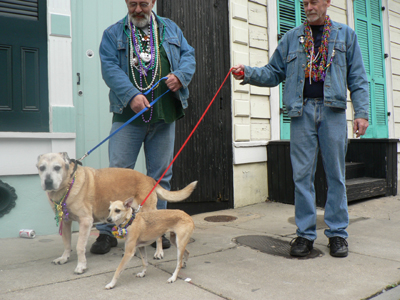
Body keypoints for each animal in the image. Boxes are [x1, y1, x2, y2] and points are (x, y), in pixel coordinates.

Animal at [36, 152, 196, 274]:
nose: (48, 182)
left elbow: (79, 246)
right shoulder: (66, 221)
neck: (68, 184)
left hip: (149, 211)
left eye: (57, 167)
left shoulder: (85, 221)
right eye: (42, 168)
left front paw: (81, 265)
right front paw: (64, 257)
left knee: (158, 236)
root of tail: (150, 179)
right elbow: (66, 242)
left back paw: (159, 251)